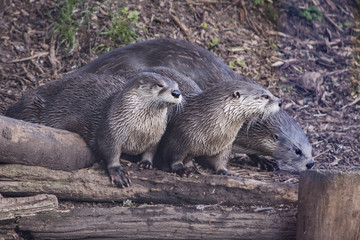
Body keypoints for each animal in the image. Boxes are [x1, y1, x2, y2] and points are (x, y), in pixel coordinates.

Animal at [6, 72, 183, 187]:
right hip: (30, 107)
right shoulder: (111, 129)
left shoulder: (156, 137)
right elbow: (108, 150)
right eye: (159, 85)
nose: (176, 92)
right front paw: (118, 172)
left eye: (177, 85)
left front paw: (146, 163)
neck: (140, 131)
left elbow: (151, 150)